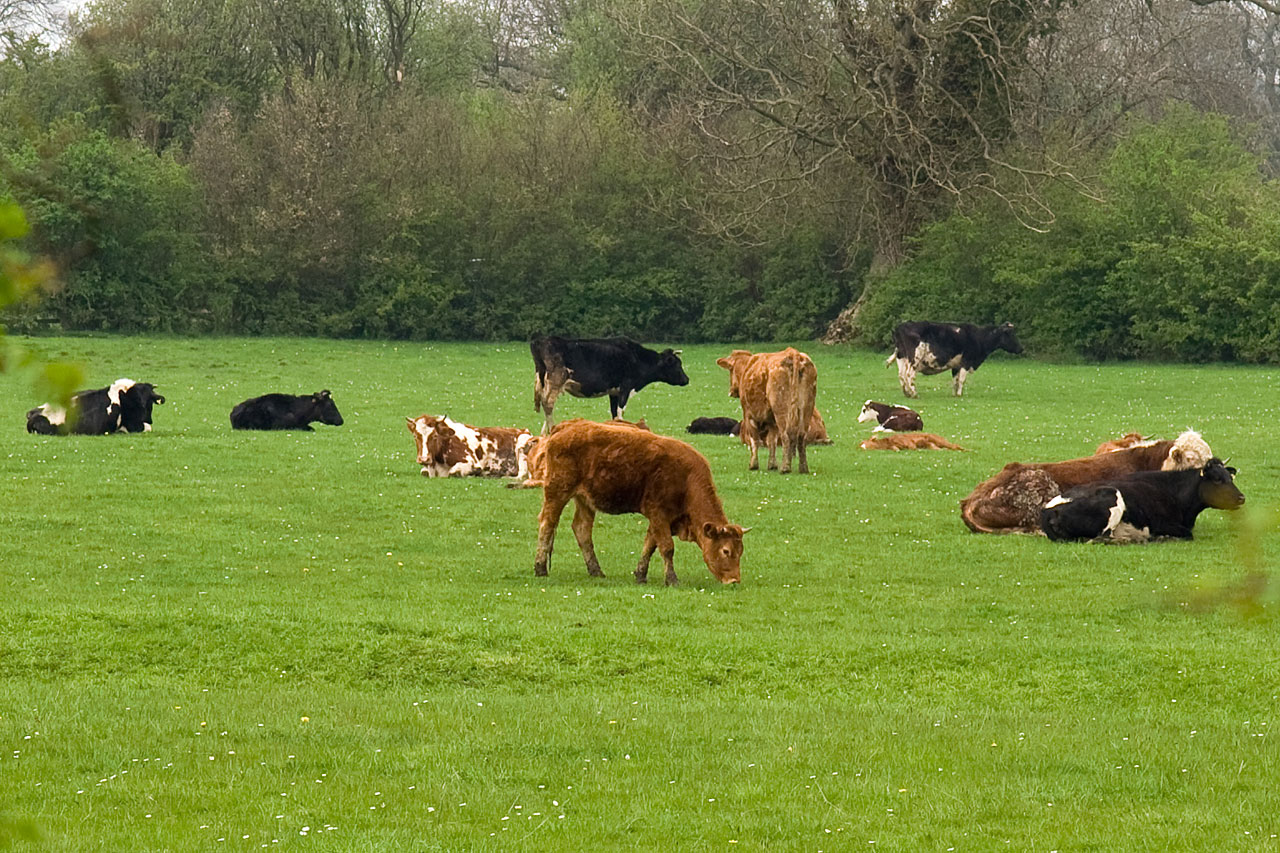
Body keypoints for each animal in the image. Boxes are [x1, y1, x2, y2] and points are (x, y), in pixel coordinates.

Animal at [27, 379, 165, 435]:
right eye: (136, 398)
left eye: (149, 399)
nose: (145, 415)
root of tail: (33, 415)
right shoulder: (133, 425)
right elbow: (148, 428)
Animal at [530, 336, 689, 433]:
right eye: (677, 364)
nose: (686, 379)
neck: (638, 358)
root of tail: (541, 341)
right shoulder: (626, 387)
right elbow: (620, 412)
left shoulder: (614, 392)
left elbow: (614, 413)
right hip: (555, 381)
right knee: (548, 404)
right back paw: (552, 429)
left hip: (544, 382)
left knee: (546, 405)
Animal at [533, 419, 746, 585]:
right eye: (726, 551)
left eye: (740, 551)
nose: (734, 580)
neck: (687, 478)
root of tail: (565, 426)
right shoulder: (659, 514)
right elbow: (667, 548)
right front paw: (672, 579)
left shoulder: (662, 520)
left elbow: (650, 545)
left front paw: (640, 574)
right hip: (557, 493)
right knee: (547, 524)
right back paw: (540, 568)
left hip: (585, 500)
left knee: (582, 530)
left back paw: (596, 570)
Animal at [886, 321, 1022, 397]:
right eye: (1010, 334)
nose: (1021, 348)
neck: (979, 337)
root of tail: (900, 327)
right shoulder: (966, 362)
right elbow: (962, 379)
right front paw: (959, 394)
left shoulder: (956, 365)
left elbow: (955, 380)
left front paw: (954, 393)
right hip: (914, 358)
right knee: (909, 375)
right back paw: (913, 393)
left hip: (902, 358)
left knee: (901, 375)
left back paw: (906, 392)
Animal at [1040, 458, 1244, 543]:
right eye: (1217, 479)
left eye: (1230, 477)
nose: (1242, 498)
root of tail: (1048, 509)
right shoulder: (1163, 524)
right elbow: (1187, 534)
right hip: (1112, 497)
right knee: (1102, 538)